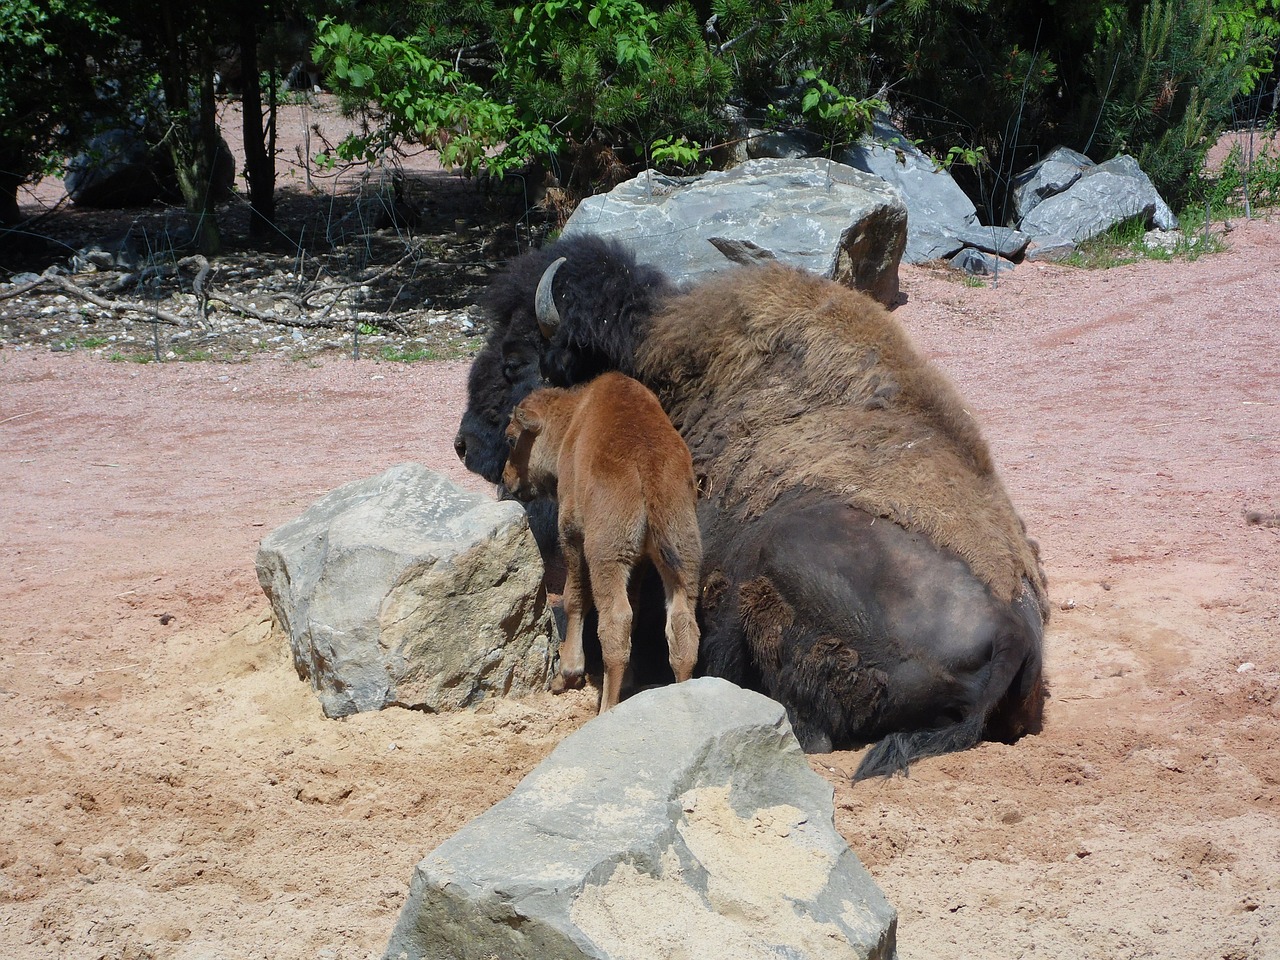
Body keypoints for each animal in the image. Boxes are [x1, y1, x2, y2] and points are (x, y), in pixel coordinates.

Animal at [501, 371, 701, 711]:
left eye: (512, 439)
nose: (506, 478)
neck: (573, 419)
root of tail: (648, 461)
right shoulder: (641, 561)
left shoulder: (571, 534)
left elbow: (574, 599)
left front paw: (566, 674)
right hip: (682, 553)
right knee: (681, 625)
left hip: (606, 555)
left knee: (615, 622)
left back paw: (606, 708)